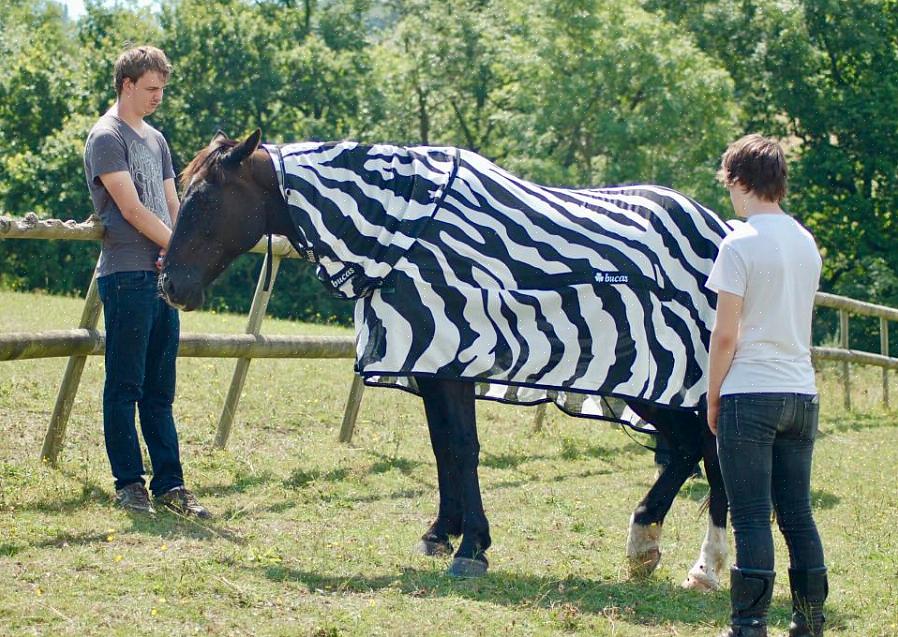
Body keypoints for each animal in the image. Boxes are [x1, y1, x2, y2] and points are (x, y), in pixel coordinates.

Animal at [159, 129, 728, 588]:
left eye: (204, 199)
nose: (169, 286)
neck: (407, 235)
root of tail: (717, 228)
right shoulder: (431, 365)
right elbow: (442, 448)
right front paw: (441, 533)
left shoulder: (455, 357)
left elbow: (462, 447)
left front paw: (473, 547)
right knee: (693, 450)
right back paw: (663, 551)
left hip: (667, 381)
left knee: (702, 452)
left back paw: (694, 560)